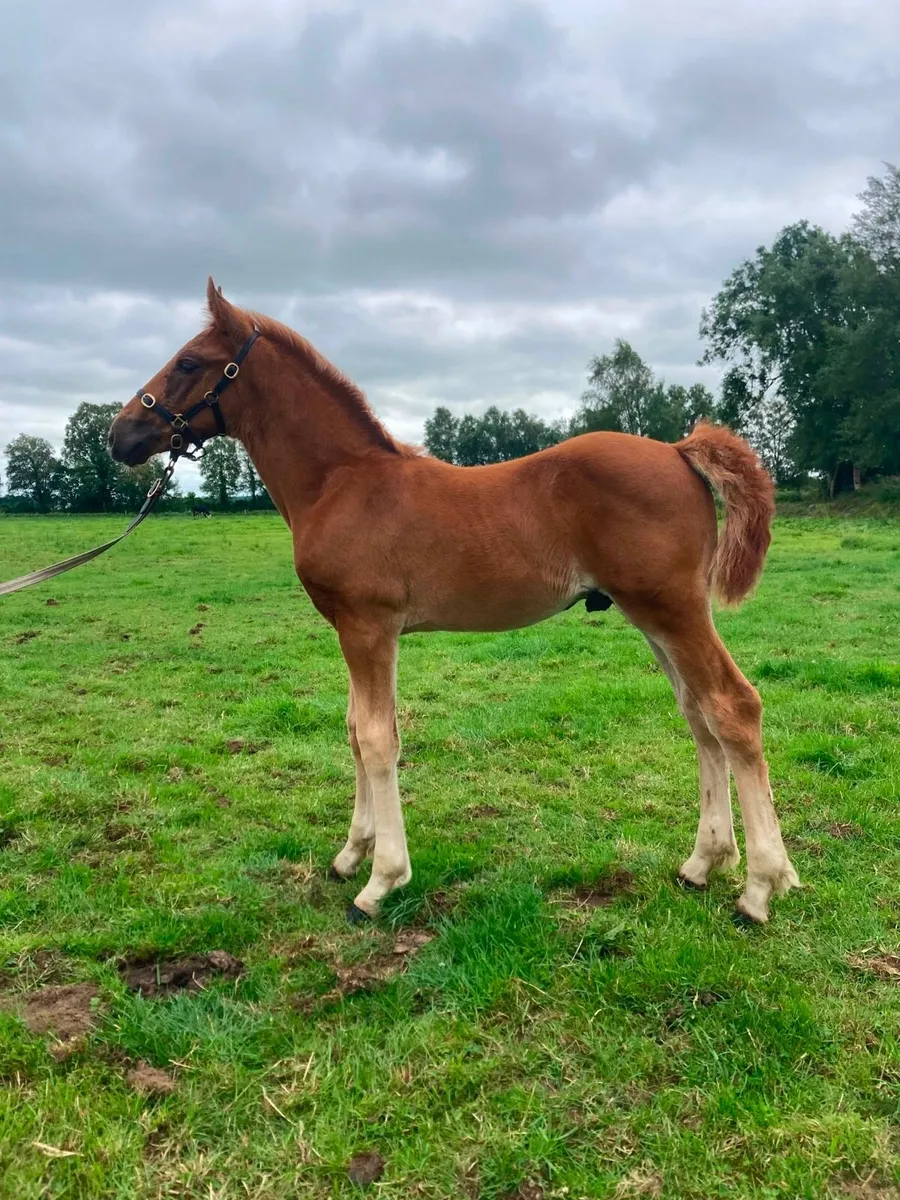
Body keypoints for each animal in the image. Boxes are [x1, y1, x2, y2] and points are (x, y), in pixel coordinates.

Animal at [108, 278, 800, 925]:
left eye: (188, 362)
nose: (121, 435)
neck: (342, 482)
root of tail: (680, 451)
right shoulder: (351, 630)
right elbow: (355, 731)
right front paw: (351, 854)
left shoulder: (368, 627)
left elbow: (378, 737)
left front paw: (380, 882)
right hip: (653, 616)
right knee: (699, 714)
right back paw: (704, 862)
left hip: (674, 610)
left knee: (733, 707)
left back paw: (760, 886)